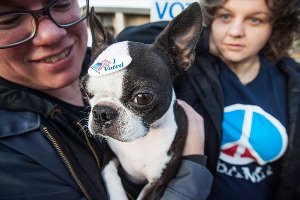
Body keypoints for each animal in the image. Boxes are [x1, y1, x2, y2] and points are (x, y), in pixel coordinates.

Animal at [82, 3, 203, 200]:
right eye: (85, 91)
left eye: (143, 97)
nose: (101, 112)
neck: (140, 141)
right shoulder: (108, 158)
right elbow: (112, 178)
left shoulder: (156, 184)